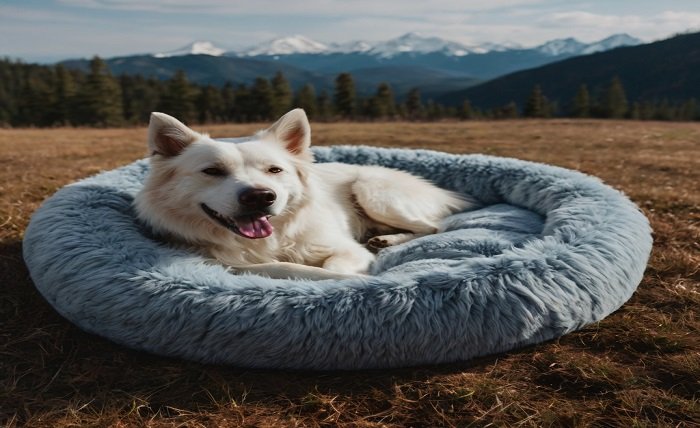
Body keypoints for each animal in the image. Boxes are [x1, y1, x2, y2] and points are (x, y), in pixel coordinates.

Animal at [134, 108, 474, 280]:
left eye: (274, 170)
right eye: (212, 171)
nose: (261, 196)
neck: (269, 241)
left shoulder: (346, 250)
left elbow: (332, 268)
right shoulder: (220, 261)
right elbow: (280, 267)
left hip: (371, 190)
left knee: (431, 227)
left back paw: (387, 240)